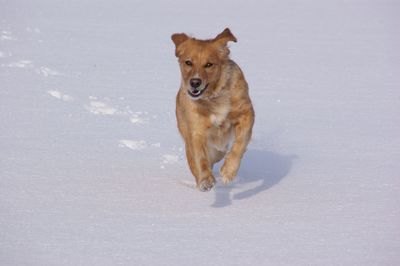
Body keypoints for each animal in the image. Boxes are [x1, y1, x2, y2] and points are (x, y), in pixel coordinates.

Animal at [171, 28, 253, 191]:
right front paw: (205, 180)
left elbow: (240, 144)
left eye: (209, 64)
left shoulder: (247, 113)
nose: (195, 82)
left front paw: (228, 171)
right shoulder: (196, 130)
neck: (213, 97)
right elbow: (200, 157)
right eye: (188, 62)